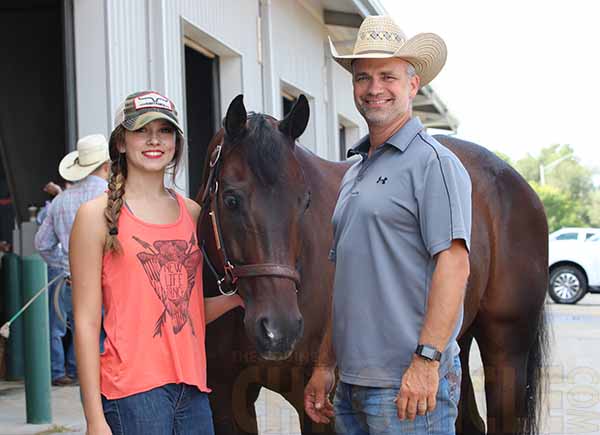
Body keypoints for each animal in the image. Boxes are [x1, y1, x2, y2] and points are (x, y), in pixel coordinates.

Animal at [197, 95, 548, 435]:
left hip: (506, 352)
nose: (279, 330)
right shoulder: (227, 398)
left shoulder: (316, 405)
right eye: (231, 199)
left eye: (304, 201)